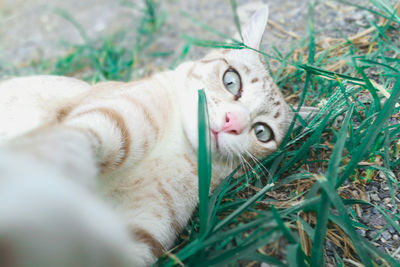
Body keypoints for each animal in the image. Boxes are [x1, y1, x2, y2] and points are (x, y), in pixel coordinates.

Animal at [0, 4, 300, 267]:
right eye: (231, 80)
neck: (177, 145)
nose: (232, 123)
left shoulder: (143, 231)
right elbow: (57, 152)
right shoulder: (103, 123)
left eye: (262, 132)